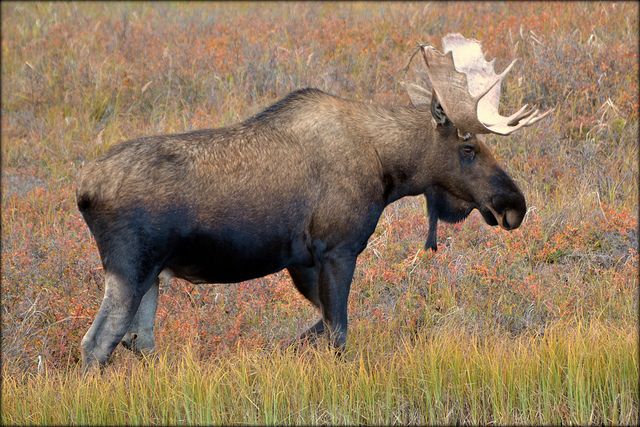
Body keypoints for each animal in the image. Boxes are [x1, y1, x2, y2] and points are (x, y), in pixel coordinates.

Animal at [79, 34, 552, 372]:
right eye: (468, 147)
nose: (514, 204)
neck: (388, 167)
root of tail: (83, 191)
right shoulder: (337, 250)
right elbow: (338, 332)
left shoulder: (302, 261)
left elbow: (320, 326)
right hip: (129, 268)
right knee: (97, 343)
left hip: (153, 276)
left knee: (138, 341)